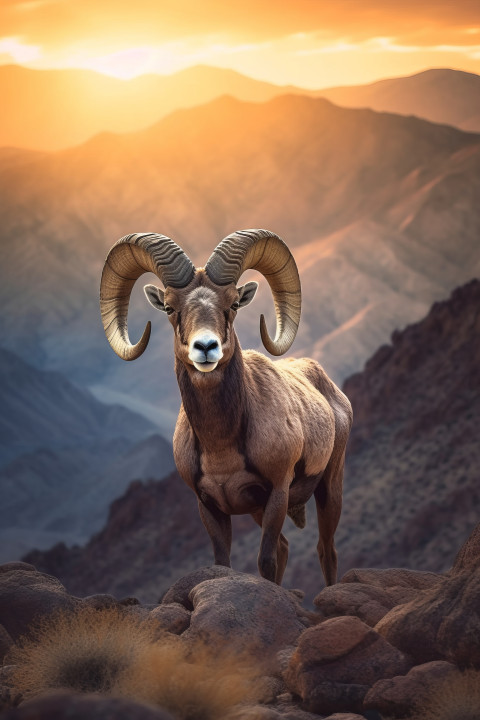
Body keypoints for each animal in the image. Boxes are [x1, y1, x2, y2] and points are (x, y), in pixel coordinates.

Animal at [100, 229, 352, 585]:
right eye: (169, 307)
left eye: (232, 304)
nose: (206, 347)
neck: (221, 446)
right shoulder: (210, 507)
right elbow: (223, 564)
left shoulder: (277, 494)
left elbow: (266, 563)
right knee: (287, 546)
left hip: (330, 487)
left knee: (326, 550)